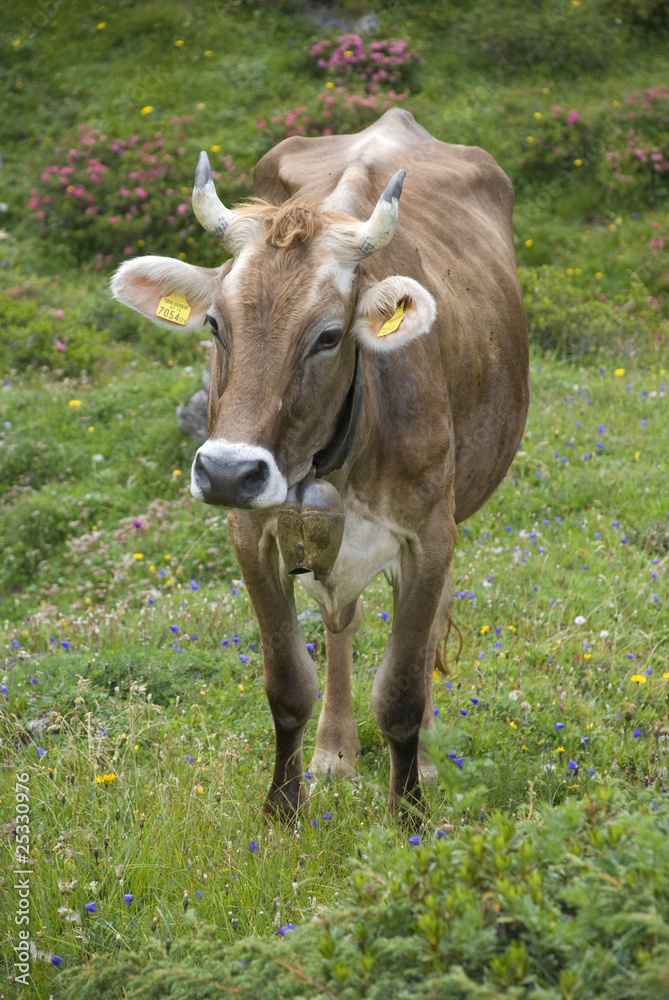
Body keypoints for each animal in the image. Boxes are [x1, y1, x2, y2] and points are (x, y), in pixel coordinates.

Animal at [112, 109, 529, 822]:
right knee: (341, 622)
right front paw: (284, 807)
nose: (228, 472)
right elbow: (287, 683)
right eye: (216, 324)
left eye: (329, 336)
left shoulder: (430, 534)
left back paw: (419, 759)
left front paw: (408, 812)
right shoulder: (252, 533)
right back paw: (335, 751)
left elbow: (403, 689)